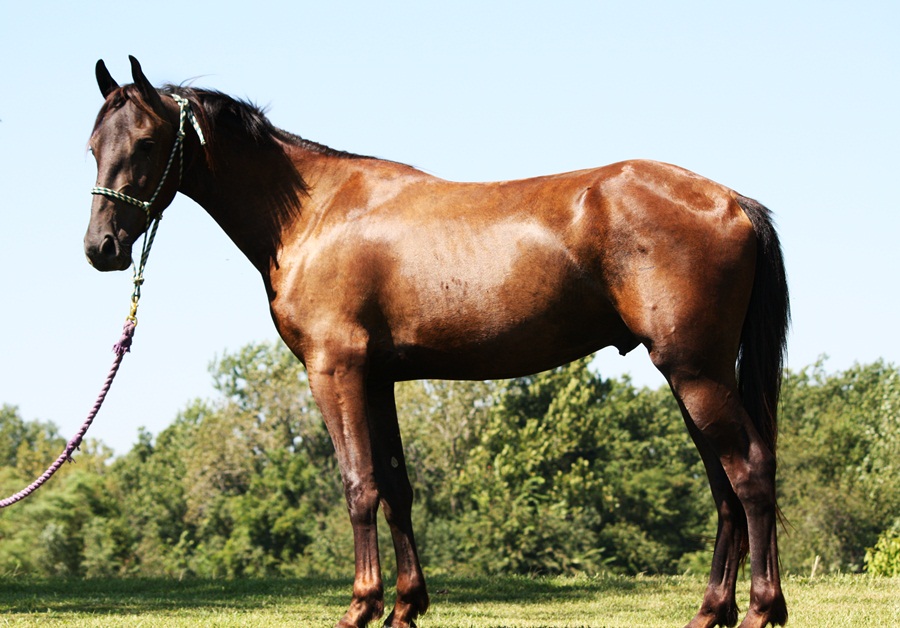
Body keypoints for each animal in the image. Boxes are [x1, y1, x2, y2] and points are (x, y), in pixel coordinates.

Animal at [84, 57, 789, 628]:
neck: (314, 214)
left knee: (749, 473)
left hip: (695, 371)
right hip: (697, 375)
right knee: (725, 486)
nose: (102, 249)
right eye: (92, 144)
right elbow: (397, 488)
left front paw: (361, 606)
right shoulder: (378, 379)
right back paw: (712, 610)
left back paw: (760, 610)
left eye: (146, 141)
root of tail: (732, 201)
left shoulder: (335, 371)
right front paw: (405, 605)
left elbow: (359, 484)